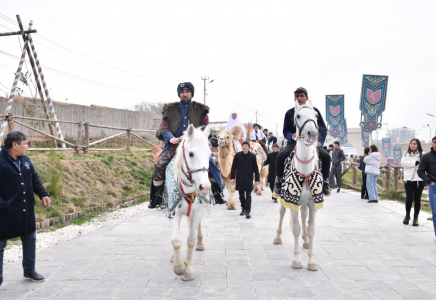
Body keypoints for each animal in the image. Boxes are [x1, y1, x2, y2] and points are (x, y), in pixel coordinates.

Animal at [274, 101, 322, 272]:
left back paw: (306, 241)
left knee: (304, 216)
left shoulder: (313, 204)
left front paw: (312, 261)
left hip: (305, 204)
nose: (312, 133)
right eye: (298, 116)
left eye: (316, 116)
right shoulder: (291, 201)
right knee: (281, 214)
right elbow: (295, 228)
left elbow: (311, 229)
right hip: (282, 199)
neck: (305, 172)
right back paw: (277, 237)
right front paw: (296, 260)